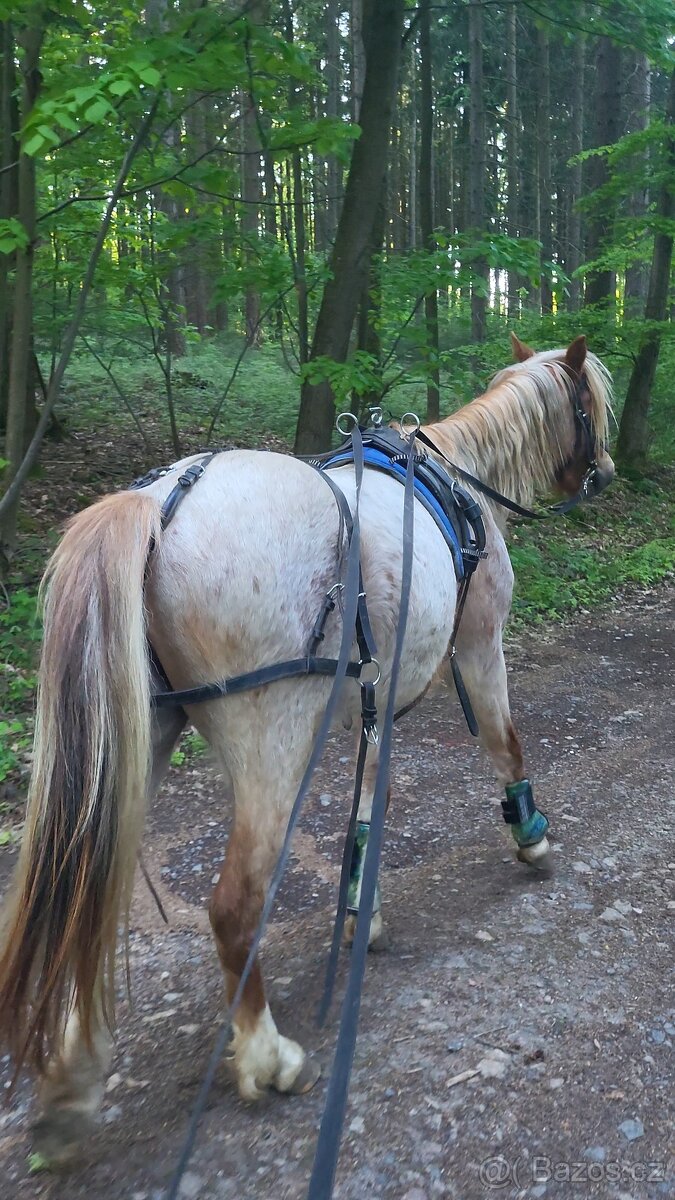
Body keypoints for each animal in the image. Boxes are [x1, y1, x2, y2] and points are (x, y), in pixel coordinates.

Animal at [0, 333, 614, 1168]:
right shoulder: (477, 644)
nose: (605, 472)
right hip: (272, 738)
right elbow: (503, 741)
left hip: (139, 739)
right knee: (234, 905)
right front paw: (529, 835)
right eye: (590, 407)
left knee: (89, 895)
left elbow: (369, 804)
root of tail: (159, 502)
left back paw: (74, 1078)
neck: (459, 480)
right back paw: (267, 1056)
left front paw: (363, 906)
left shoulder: (378, 691)